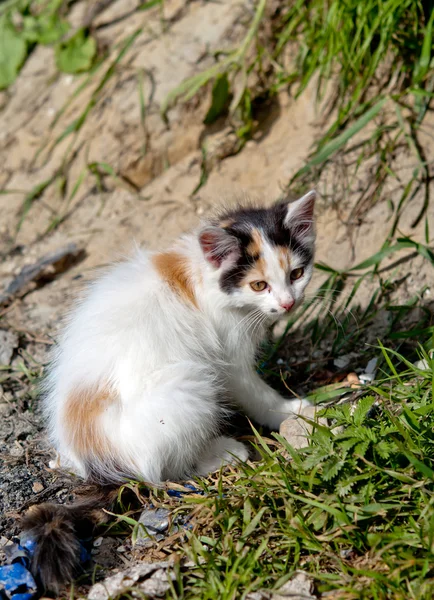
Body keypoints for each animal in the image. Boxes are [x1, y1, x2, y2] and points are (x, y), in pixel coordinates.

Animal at [22, 193, 316, 592]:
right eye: (259, 285)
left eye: (296, 275)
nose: (288, 303)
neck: (201, 273)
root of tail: (102, 465)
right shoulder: (228, 357)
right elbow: (255, 392)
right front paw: (293, 411)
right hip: (191, 383)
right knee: (163, 471)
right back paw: (224, 452)